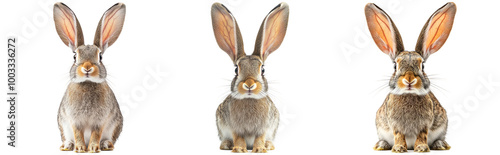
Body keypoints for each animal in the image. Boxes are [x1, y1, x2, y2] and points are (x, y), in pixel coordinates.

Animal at [53, 2, 126, 153]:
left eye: (100, 57)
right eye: (75, 56)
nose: (87, 67)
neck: (87, 83)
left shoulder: (100, 121)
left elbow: (96, 134)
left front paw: (92, 148)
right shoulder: (73, 120)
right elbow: (77, 133)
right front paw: (81, 148)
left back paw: (106, 144)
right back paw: (67, 145)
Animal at [211, 1, 290, 153]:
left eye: (263, 70)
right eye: (236, 70)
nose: (249, 84)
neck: (249, 99)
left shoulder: (263, 128)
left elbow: (260, 138)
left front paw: (259, 149)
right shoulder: (235, 128)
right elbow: (238, 138)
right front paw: (239, 149)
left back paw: (268, 145)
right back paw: (226, 145)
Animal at [364, 2, 458, 153]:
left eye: (422, 66)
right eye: (395, 66)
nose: (409, 80)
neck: (409, 94)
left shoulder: (424, 124)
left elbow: (422, 135)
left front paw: (421, 148)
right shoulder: (395, 125)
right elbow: (398, 135)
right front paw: (398, 148)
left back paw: (440, 145)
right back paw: (381, 145)